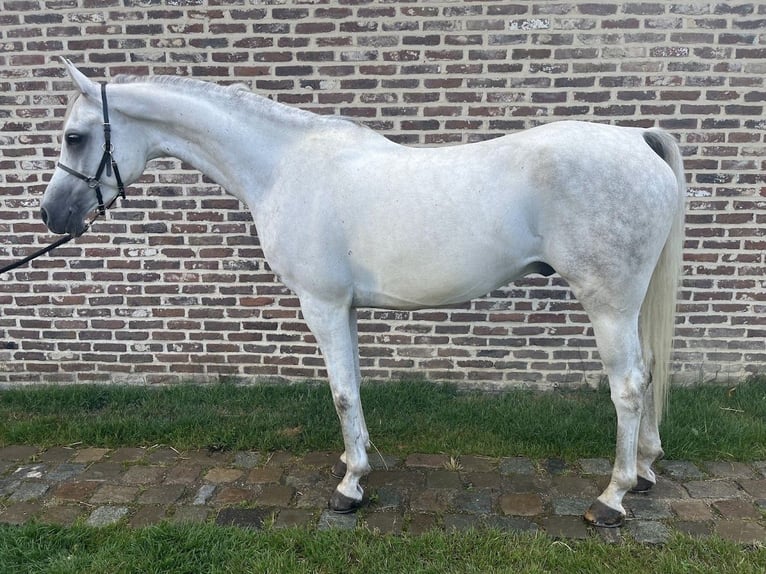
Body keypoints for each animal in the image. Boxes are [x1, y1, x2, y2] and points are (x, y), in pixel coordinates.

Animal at [41, 59, 685, 528]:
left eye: (75, 137)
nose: (50, 216)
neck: (283, 166)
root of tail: (637, 139)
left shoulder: (321, 304)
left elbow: (342, 394)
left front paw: (349, 488)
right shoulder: (344, 308)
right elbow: (353, 388)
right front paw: (362, 463)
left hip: (608, 304)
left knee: (629, 387)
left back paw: (612, 497)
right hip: (632, 303)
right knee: (651, 371)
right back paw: (647, 471)